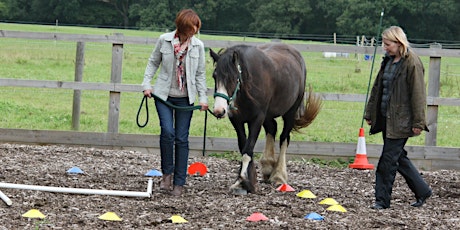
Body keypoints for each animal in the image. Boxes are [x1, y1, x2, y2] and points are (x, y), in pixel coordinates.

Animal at [210, 43, 322, 194]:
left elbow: (248, 149)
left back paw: (279, 175)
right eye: (214, 76)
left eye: (233, 77)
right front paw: (248, 181)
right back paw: (268, 166)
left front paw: (243, 180)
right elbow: (244, 147)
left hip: (290, 113)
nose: (219, 110)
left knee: (284, 138)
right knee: (272, 129)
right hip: (268, 116)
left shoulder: (257, 119)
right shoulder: (237, 121)